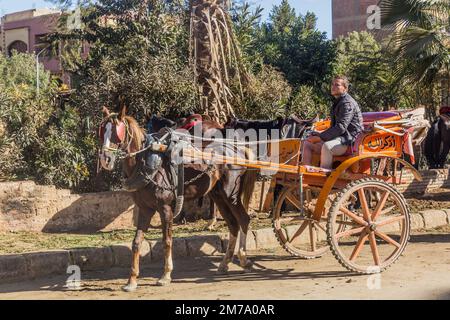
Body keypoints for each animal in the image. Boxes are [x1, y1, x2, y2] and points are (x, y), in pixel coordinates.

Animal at [98, 106, 256, 292]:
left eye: (118, 131)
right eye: (102, 130)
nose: (105, 159)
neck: (146, 163)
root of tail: (237, 149)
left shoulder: (165, 208)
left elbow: (167, 241)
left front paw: (165, 275)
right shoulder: (145, 209)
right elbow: (136, 242)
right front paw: (132, 281)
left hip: (230, 194)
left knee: (243, 219)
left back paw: (244, 259)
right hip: (218, 196)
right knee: (233, 224)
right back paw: (225, 263)